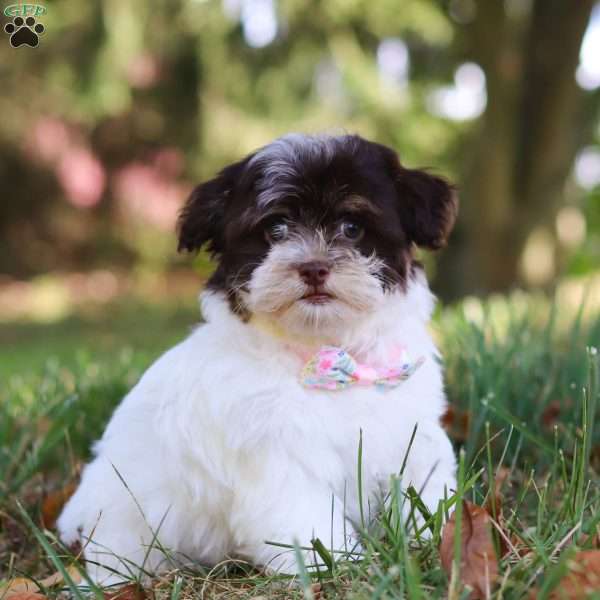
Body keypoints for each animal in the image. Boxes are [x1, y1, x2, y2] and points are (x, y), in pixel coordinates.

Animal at [58, 134, 458, 584]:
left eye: (352, 229)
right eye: (275, 229)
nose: (314, 266)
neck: (326, 351)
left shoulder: (412, 432)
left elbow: (422, 486)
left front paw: (434, 538)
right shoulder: (279, 458)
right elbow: (307, 516)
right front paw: (336, 567)